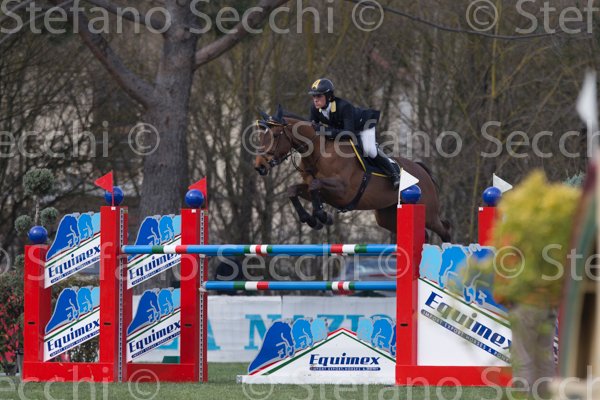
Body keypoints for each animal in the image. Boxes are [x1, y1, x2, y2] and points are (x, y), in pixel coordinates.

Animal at [253, 107, 451, 242]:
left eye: (276, 135)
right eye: (260, 136)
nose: (259, 166)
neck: (318, 152)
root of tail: (422, 171)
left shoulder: (342, 190)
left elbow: (315, 185)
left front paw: (322, 216)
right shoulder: (316, 190)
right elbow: (293, 190)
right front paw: (312, 219)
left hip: (429, 213)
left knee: (444, 229)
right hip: (387, 217)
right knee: (424, 235)